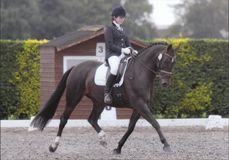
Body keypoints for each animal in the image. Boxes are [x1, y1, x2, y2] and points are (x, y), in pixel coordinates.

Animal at [30, 42, 177, 154]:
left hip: (99, 102)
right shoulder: (140, 104)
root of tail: (76, 67)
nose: (165, 83)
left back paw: (103, 139)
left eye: (173, 63)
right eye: (165, 60)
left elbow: (130, 128)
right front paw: (166, 145)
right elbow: (155, 123)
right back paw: (53, 146)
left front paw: (118, 148)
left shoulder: (139, 107)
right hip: (73, 98)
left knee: (92, 119)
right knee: (64, 119)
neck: (139, 72)